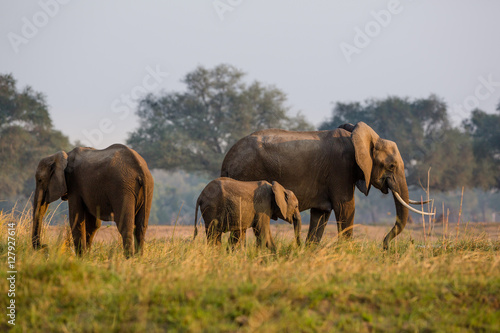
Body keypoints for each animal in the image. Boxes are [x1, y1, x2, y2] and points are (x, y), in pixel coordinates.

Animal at [221, 120, 436, 248]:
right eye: (391, 166)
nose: (385, 247)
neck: (359, 135)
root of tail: (227, 160)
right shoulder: (340, 169)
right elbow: (346, 207)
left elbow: (321, 215)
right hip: (245, 176)